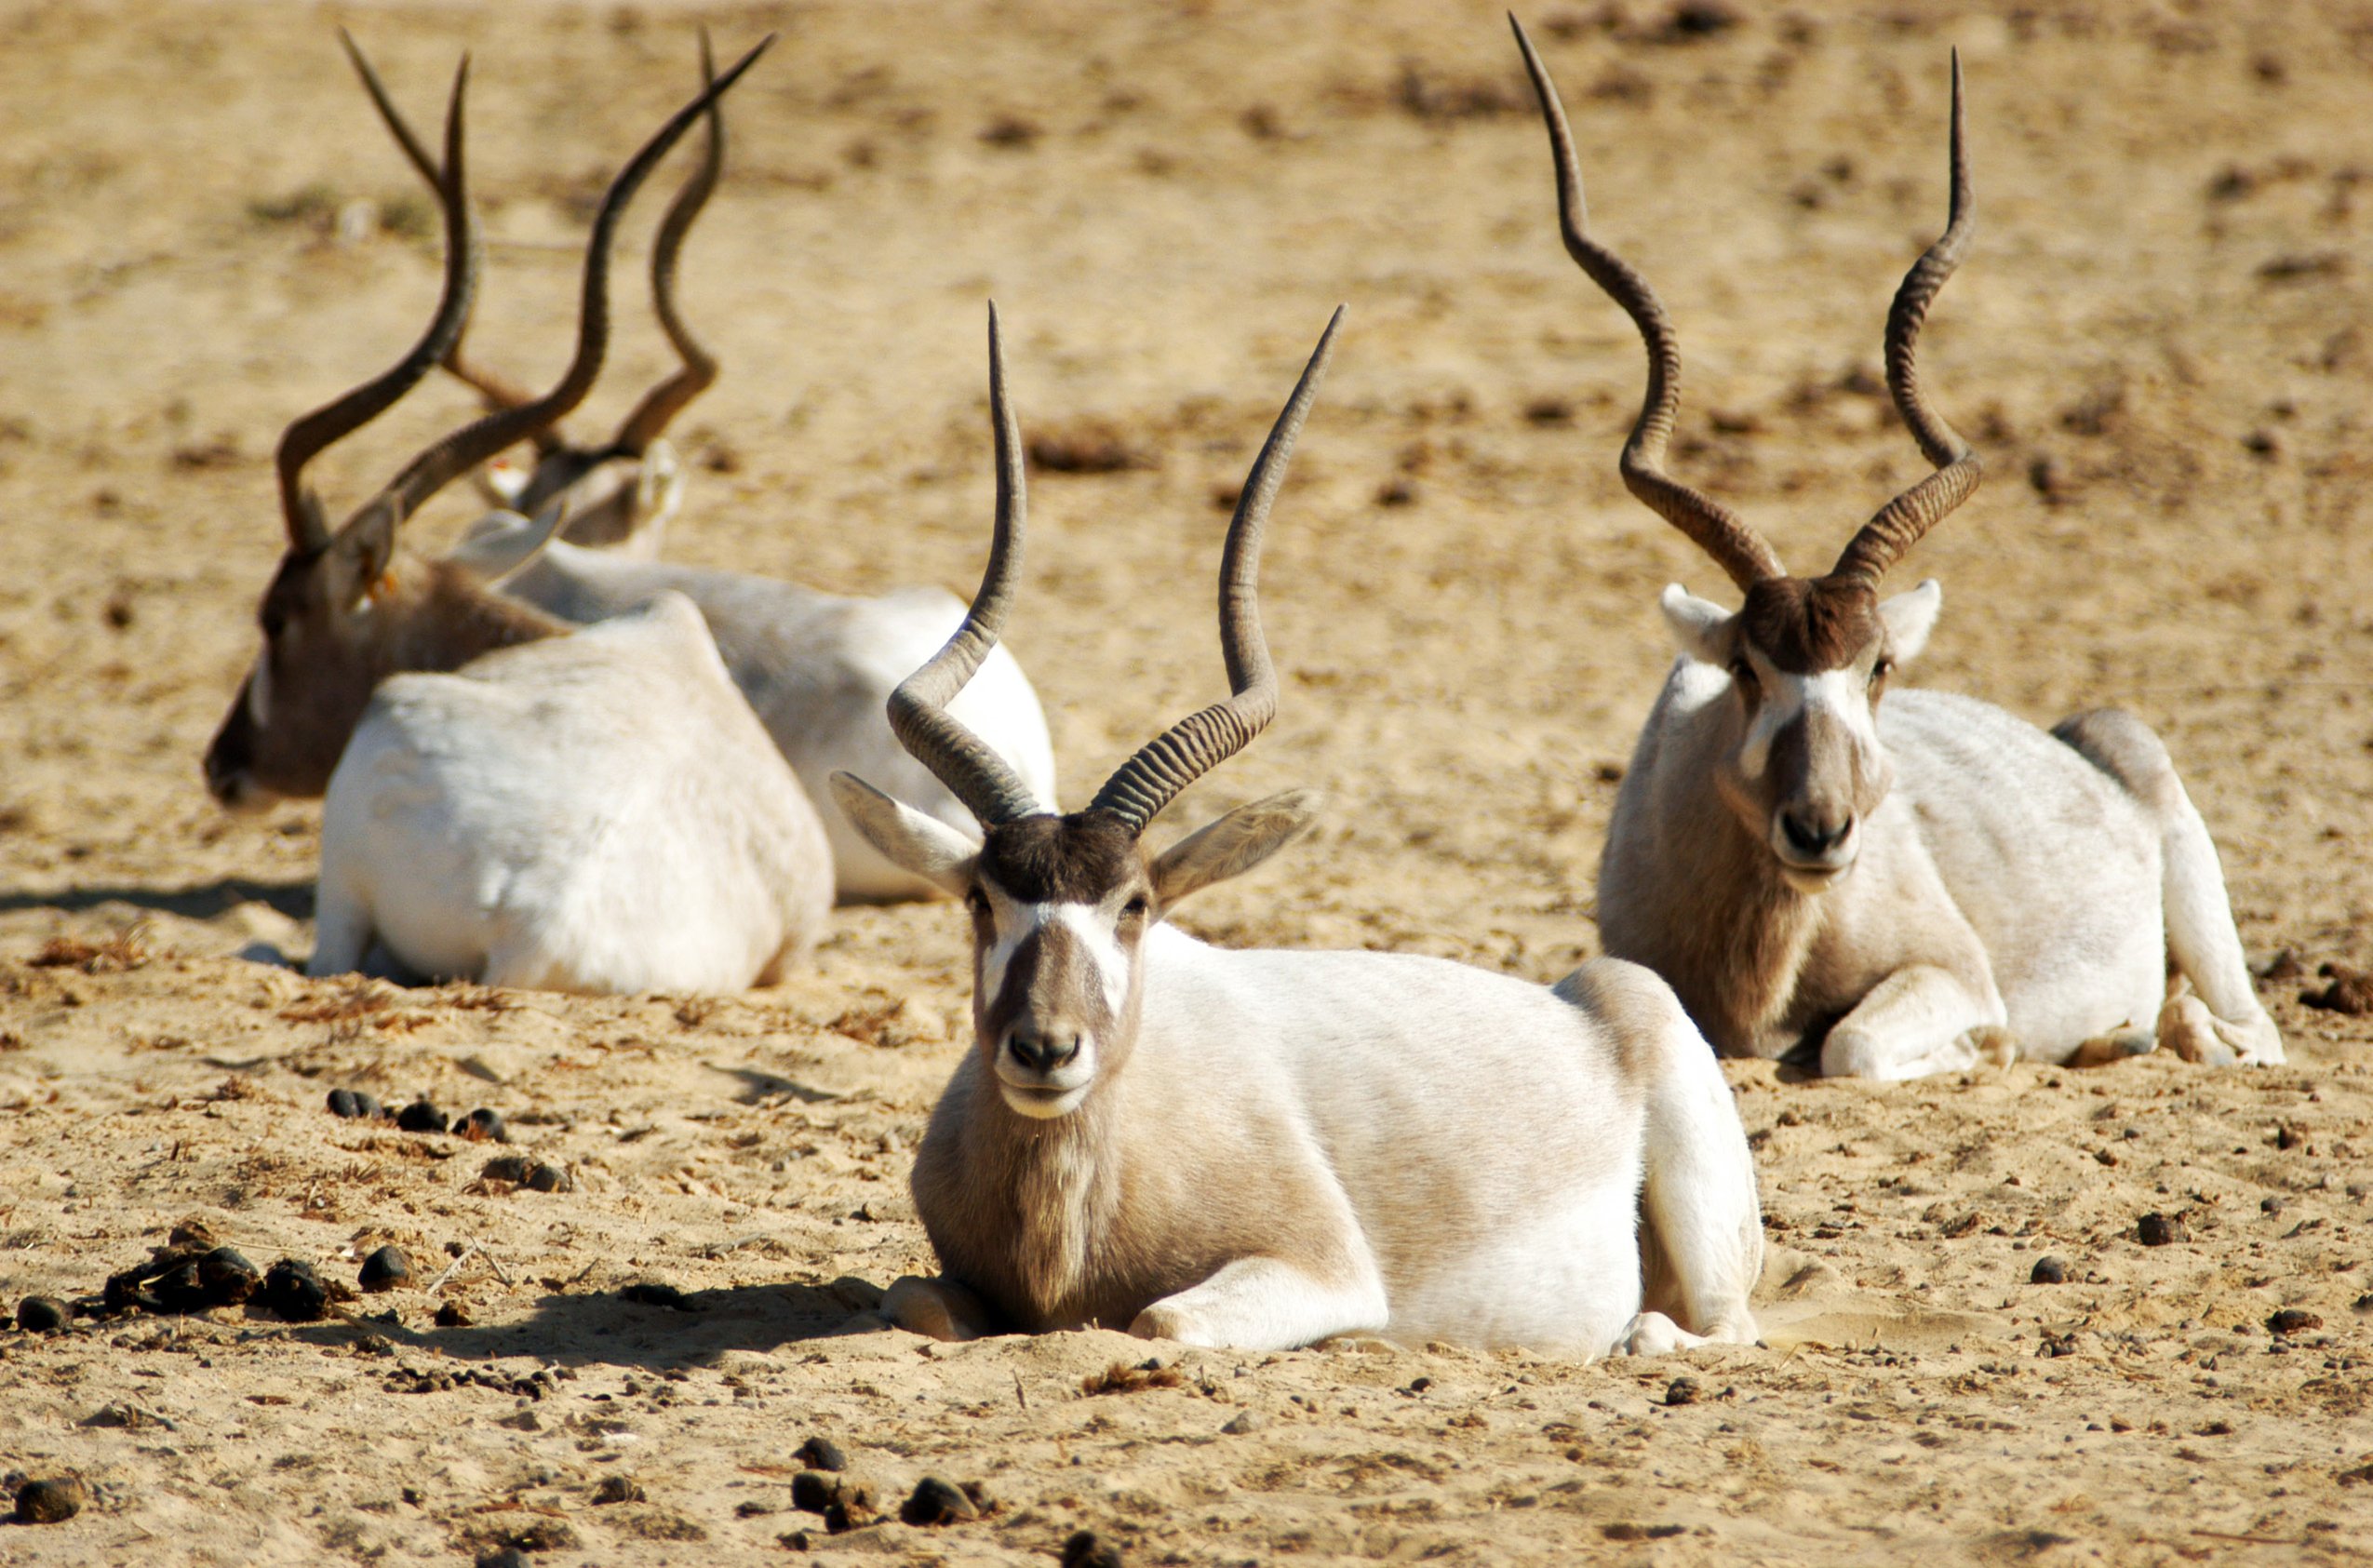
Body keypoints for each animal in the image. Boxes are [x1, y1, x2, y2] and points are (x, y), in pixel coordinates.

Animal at [835, 305, 1765, 1357]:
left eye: (1135, 904)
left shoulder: (1325, 1271)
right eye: (981, 899)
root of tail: (1588, 1001)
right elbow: (914, 1300)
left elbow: (1158, 1318)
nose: (1044, 1049)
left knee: (1714, 1326)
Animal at [1508, 20, 2287, 1077]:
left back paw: (2141, 1030)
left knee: (2247, 1028)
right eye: (1748, 670)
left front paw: (1985, 1051)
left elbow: (1853, 1046)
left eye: (1877, 667)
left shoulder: (1955, 973)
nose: (1820, 828)